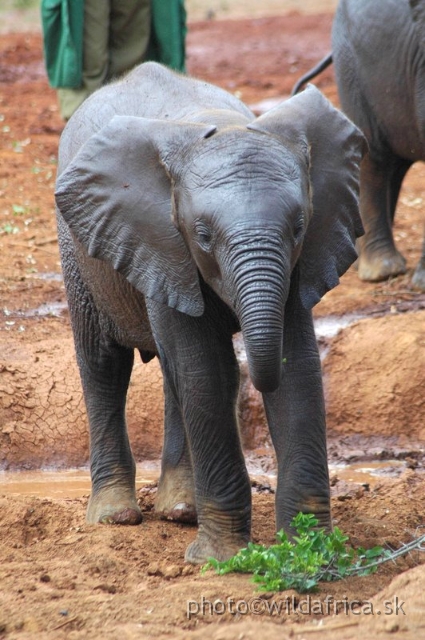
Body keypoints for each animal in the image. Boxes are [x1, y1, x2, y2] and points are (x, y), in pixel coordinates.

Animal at [54, 60, 362, 564]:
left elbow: (297, 371)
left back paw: (180, 510)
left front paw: (310, 552)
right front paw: (221, 560)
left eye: (299, 227)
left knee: (172, 377)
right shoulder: (163, 243)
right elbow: (204, 372)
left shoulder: (301, 261)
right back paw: (115, 517)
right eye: (202, 235)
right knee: (104, 364)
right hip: (78, 252)